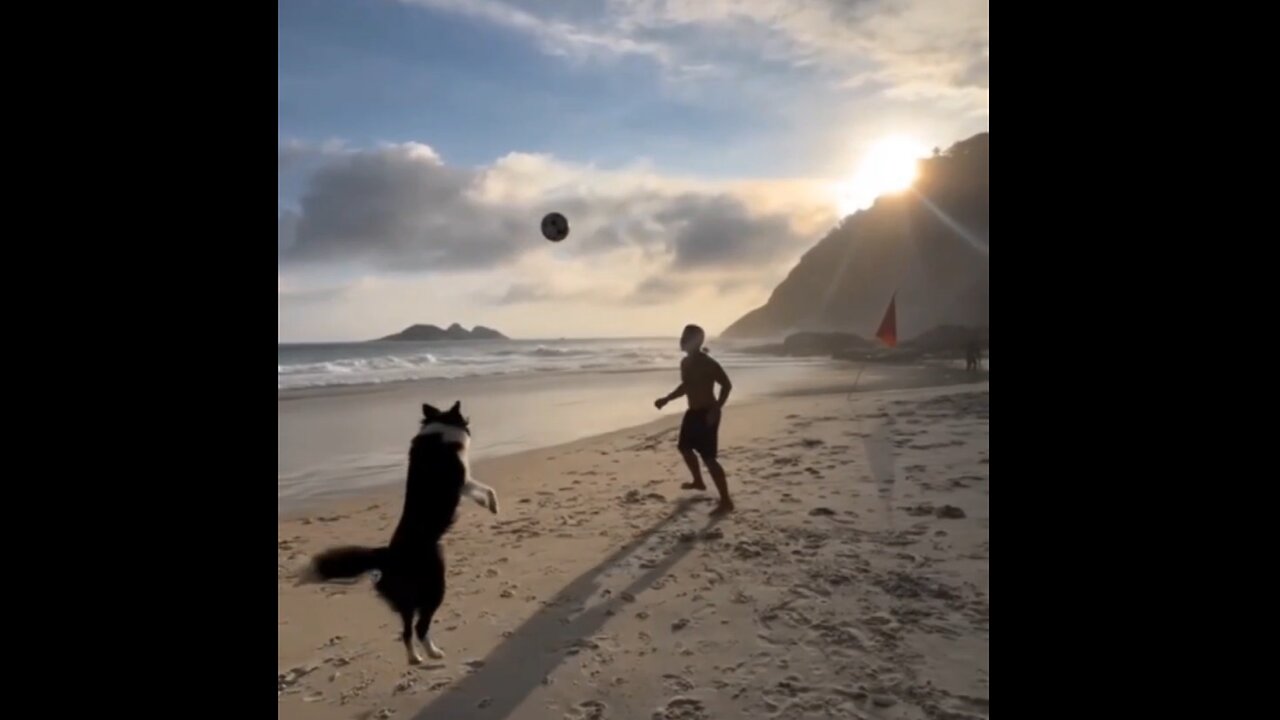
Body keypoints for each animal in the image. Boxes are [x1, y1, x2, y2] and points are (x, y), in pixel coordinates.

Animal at [299, 397, 499, 661]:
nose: (470, 425)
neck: (439, 426)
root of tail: (387, 556)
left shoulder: (464, 483)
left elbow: (481, 490)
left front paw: (487, 505)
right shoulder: (462, 481)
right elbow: (486, 488)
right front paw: (493, 505)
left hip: (407, 602)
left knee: (405, 632)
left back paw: (415, 658)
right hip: (434, 588)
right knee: (419, 627)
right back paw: (433, 653)